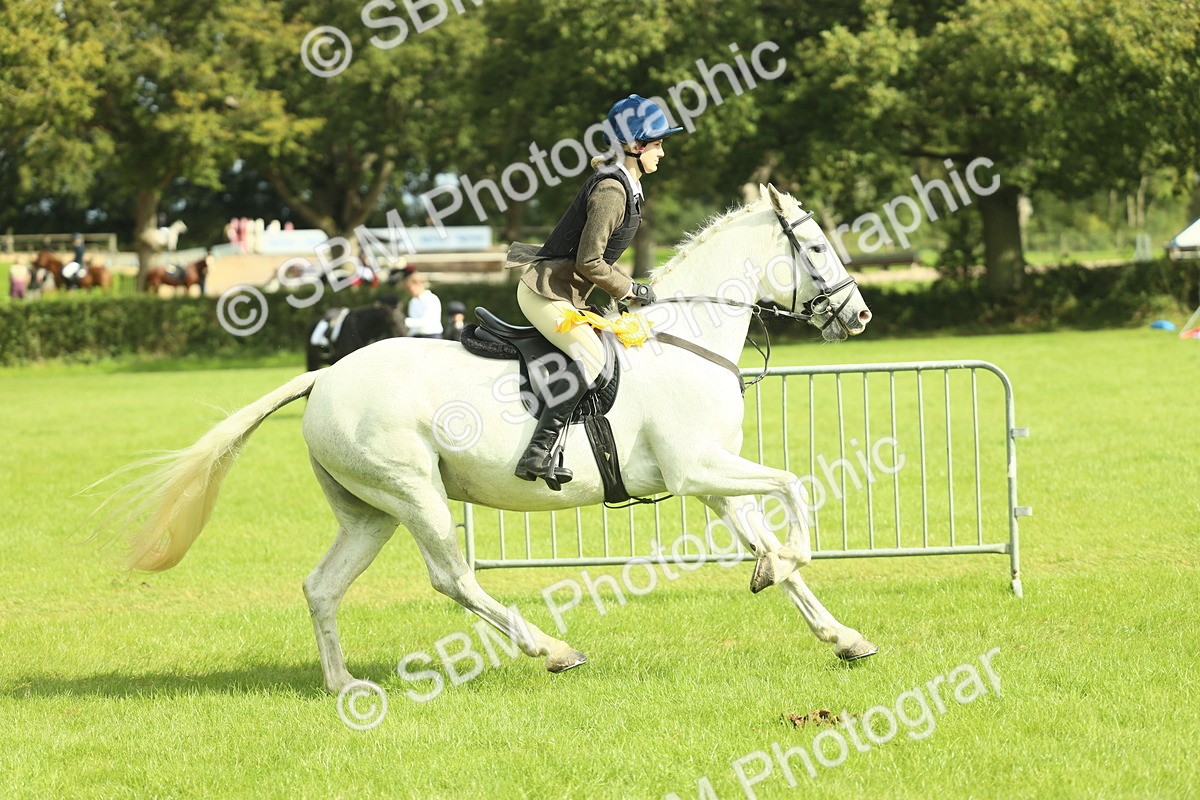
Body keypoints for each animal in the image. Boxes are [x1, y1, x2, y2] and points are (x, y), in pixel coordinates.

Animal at [97, 185, 877, 693]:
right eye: (814, 245)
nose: (861, 316)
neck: (687, 339)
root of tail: (324, 378)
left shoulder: (714, 479)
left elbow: (771, 541)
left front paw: (840, 635)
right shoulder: (698, 470)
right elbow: (793, 493)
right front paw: (784, 567)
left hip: (369, 513)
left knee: (322, 586)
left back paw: (344, 684)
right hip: (413, 493)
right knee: (454, 579)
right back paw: (551, 649)